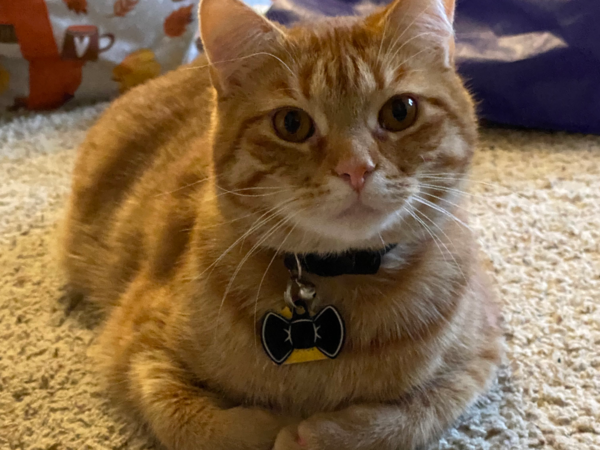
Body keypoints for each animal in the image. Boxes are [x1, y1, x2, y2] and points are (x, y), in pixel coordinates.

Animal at [61, 0, 502, 448]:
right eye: (292, 123)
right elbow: (187, 420)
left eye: (400, 112)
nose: (356, 169)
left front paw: (318, 434)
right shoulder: (133, 345)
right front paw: (266, 427)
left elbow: (409, 419)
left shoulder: (478, 359)